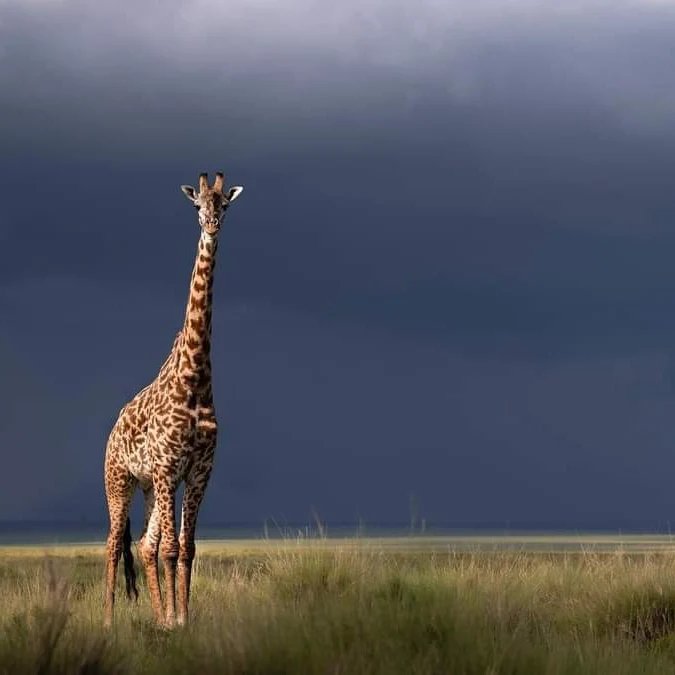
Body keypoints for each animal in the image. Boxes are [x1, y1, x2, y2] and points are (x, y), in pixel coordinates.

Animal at [103, 171, 243, 628]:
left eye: (224, 205)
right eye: (197, 205)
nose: (212, 226)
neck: (195, 377)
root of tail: (112, 431)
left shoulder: (198, 471)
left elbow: (186, 547)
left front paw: (180, 617)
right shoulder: (168, 468)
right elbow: (170, 547)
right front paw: (173, 621)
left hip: (148, 486)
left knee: (144, 544)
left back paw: (156, 614)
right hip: (120, 481)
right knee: (114, 542)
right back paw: (109, 619)